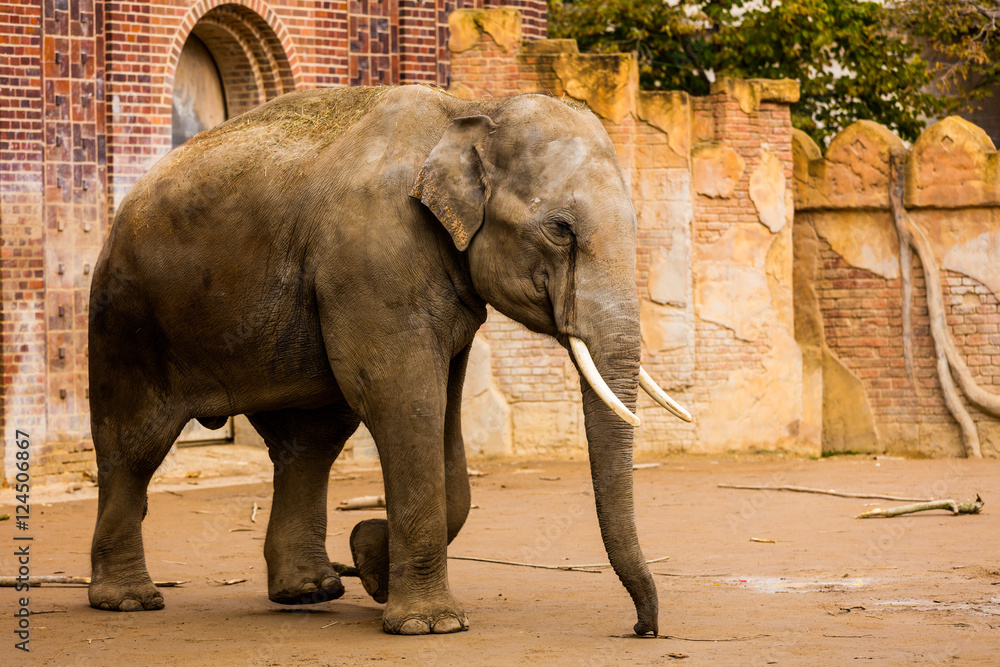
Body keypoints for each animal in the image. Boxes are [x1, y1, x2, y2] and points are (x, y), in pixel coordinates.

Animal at [87, 84, 691, 636]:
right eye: (560, 230)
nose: (643, 628)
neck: (469, 112)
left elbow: (442, 417)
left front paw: (369, 559)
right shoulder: (374, 261)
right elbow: (404, 402)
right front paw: (430, 624)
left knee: (310, 441)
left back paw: (311, 591)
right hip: (126, 315)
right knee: (134, 444)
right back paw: (129, 602)